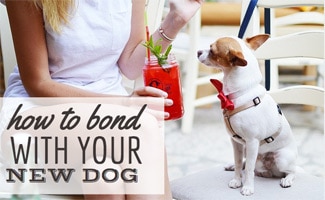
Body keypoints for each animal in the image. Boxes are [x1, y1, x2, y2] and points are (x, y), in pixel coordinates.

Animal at [196, 34, 298, 195]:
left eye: (212, 50)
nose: (198, 51)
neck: (240, 93)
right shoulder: (237, 143)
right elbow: (239, 163)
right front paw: (237, 180)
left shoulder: (251, 142)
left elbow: (249, 169)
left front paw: (248, 187)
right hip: (247, 150)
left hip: (281, 158)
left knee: (292, 171)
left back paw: (287, 179)